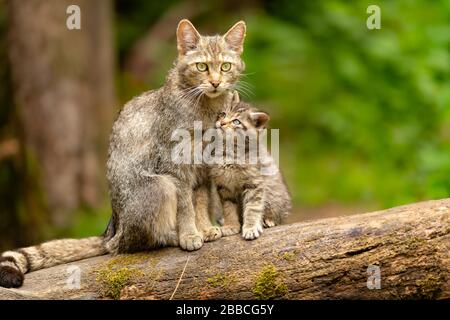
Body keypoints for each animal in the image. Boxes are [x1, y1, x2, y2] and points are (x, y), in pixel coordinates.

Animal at [0, 18, 246, 288]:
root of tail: (111, 230)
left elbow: (200, 203)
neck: (206, 110)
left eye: (225, 66)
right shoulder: (175, 169)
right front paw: (190, 234)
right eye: (201, 66)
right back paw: (172, 236)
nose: (215, 82)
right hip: (159, 187)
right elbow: (185, 207)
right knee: (129, 245)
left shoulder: (202, 170)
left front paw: (204, 228)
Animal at [198, 92, 292, 240]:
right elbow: (228, 208)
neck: (228, 152)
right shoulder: (224, 186)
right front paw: (231, 225)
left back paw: (268, 220)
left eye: (236, 122)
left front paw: (251, 228)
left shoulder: (254, 183)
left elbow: (252, 208)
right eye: (223, 114)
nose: (222, 123)